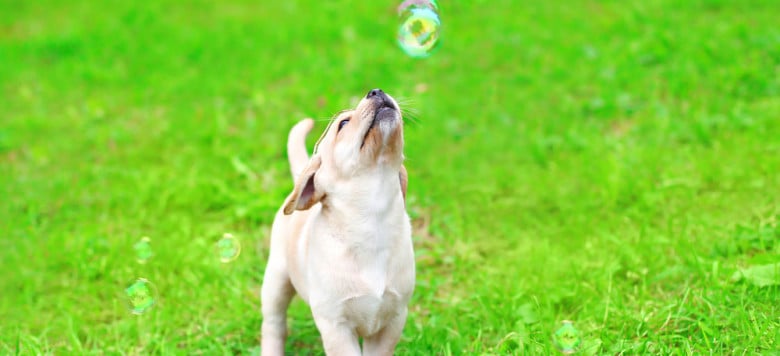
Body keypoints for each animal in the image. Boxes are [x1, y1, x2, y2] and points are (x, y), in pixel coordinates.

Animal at [262, 88, 414, 354]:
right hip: (276, 279)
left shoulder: (394, 318)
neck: (372, 217)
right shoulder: (336, 326)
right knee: (274, 324)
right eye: (343, 123)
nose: (376, 90)